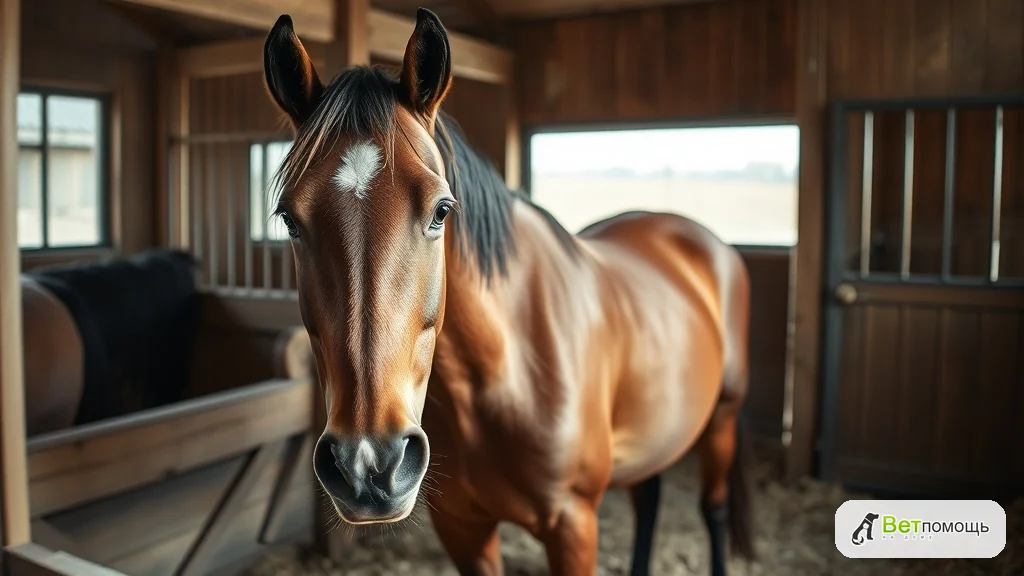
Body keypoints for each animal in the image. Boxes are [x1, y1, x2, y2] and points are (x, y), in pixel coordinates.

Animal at [261, 9, 755, 575]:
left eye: (442, 210)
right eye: (289, 220)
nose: (368, 465)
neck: (506, 369)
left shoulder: (573, 526)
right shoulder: (464, 529)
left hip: (723, 418)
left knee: (714, 509)